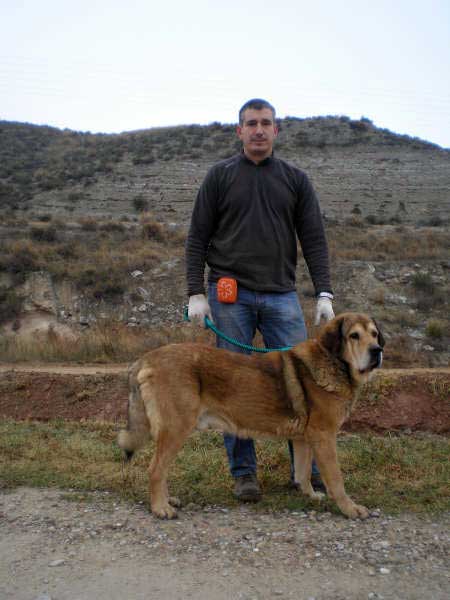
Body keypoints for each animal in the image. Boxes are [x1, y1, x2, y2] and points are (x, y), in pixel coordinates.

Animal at [117, 314, 384, 520]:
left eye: (374, 334)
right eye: (354, 336)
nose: (377, 351)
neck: (334, 363)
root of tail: (146, 358)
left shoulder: (304, 439)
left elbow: (303, 472)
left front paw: (310, 495)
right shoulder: (324, 436)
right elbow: (336, 479)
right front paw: (350, 509)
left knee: (161, 469)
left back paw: (167, 500)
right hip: (176, 428)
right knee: (155, 469)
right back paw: (160, 508)